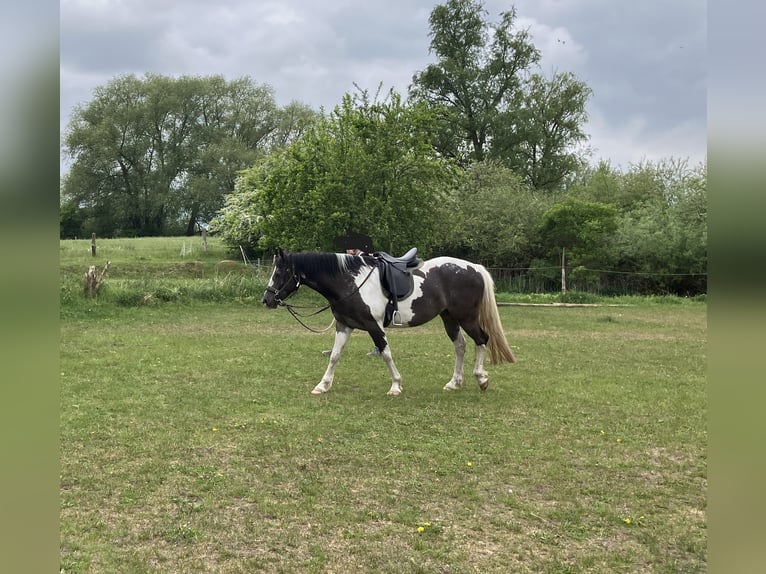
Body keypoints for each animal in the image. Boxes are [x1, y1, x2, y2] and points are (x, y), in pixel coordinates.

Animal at [262, 249, 516, 396]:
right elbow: (334, 356)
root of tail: (474, 268)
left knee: (482, 339)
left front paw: (396, 385)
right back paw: (455, 383)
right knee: (460, 346)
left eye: (280, 272)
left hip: (466, 317)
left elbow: (385, 353)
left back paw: (481, 378)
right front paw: (323, 385)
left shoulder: (374, 326)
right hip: (449, 318)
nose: (267, 300)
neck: (350, 281)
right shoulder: (344, 326)